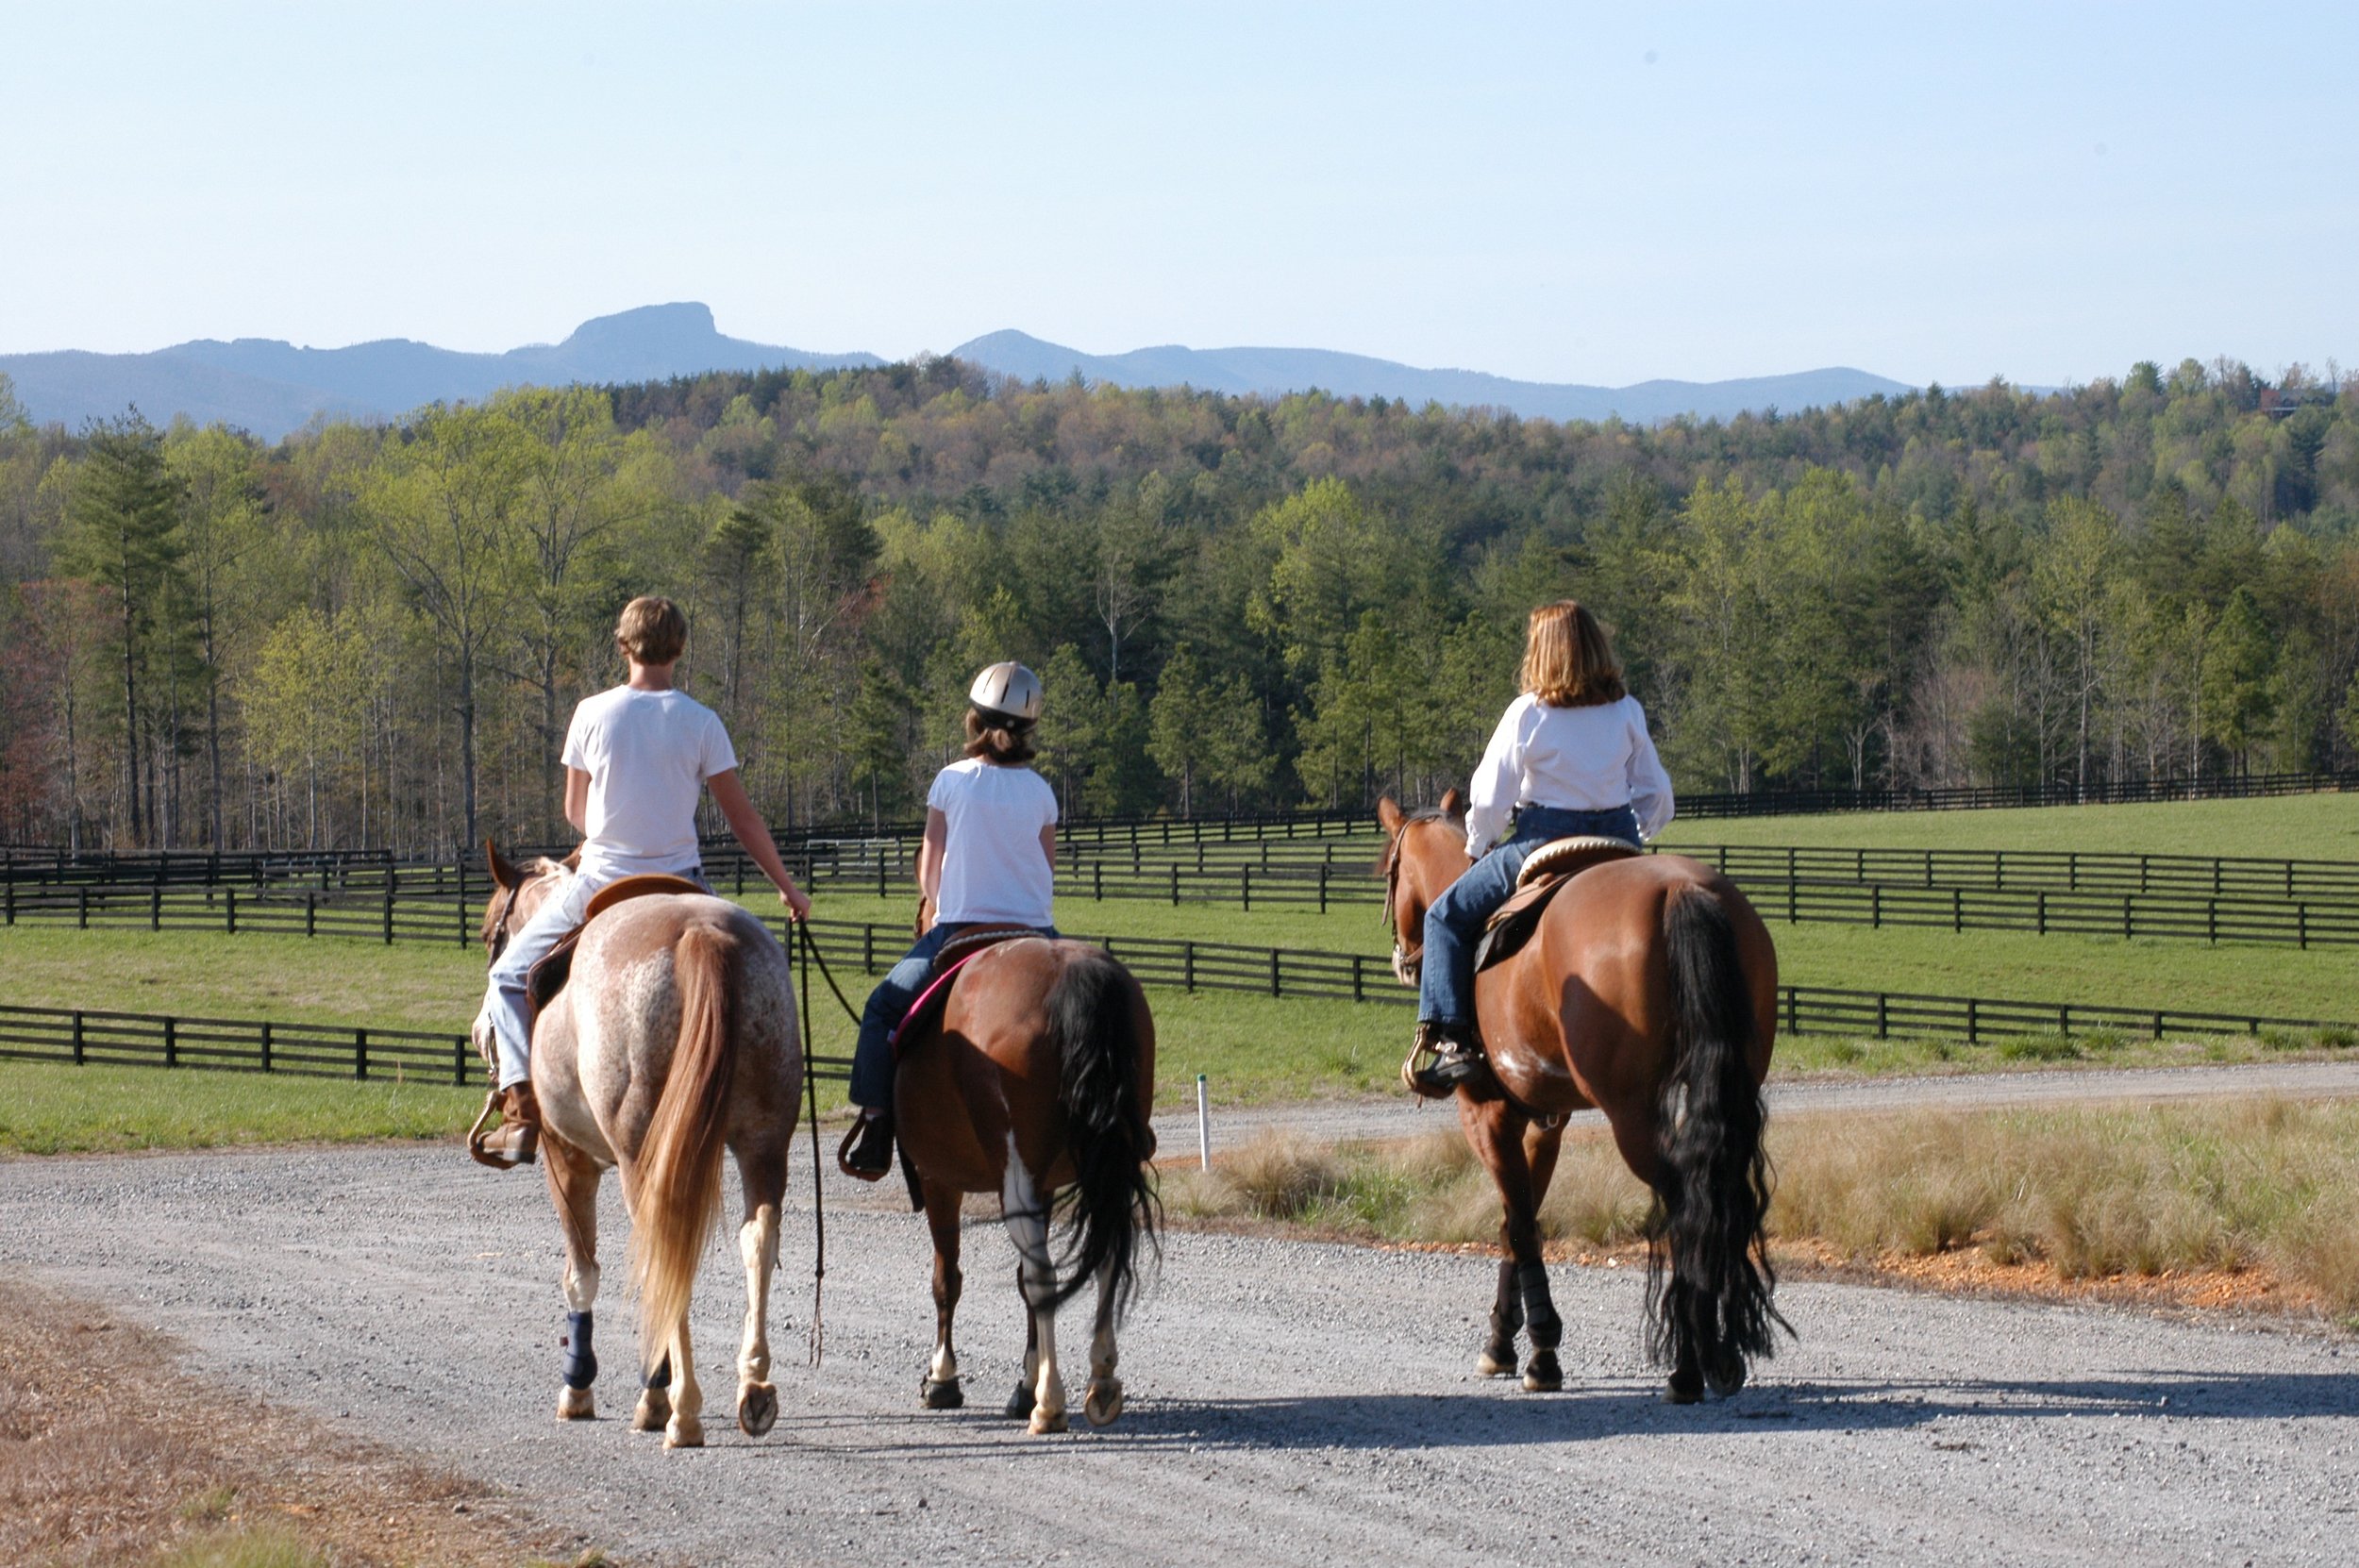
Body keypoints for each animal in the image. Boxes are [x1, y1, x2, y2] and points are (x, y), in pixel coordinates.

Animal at [472, 843, 802, 1443]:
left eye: (490, 936)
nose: (480, 1031)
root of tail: (701, 935)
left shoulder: (566, 1160)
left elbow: (581, 1275)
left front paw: (586, 1388)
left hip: (642, 1157)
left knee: (667, 1251)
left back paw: (680, 1411)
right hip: (764, 1143)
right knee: (757, 1239)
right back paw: (753, 1388)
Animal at [882, 928, 1156, 1433]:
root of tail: (1071, 973)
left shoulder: (938, 1180)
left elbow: (946, 1280)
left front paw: (943, 1378)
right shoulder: (1044, 1186)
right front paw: (1023, 1383)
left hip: (1014, 1176)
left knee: (1042, 1275)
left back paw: (1049, 1404)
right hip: (1104, 1166)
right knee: (1103, 1258)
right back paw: (1101, 1379)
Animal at [1378, 787, 1774, 1395]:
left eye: (1389, 871)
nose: (1403, 958)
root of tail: (1680, 890)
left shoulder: (1486, 1117)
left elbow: (1519, 1226)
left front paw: (1539, 1351)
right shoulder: (1547, 1123)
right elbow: (1517, 1223)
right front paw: (1505, 1340)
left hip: (1633, 1116)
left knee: (1688, 1208)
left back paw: (1688, 1366)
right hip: (1732, 1092)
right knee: (1721, 1199)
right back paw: (1724, 1355)